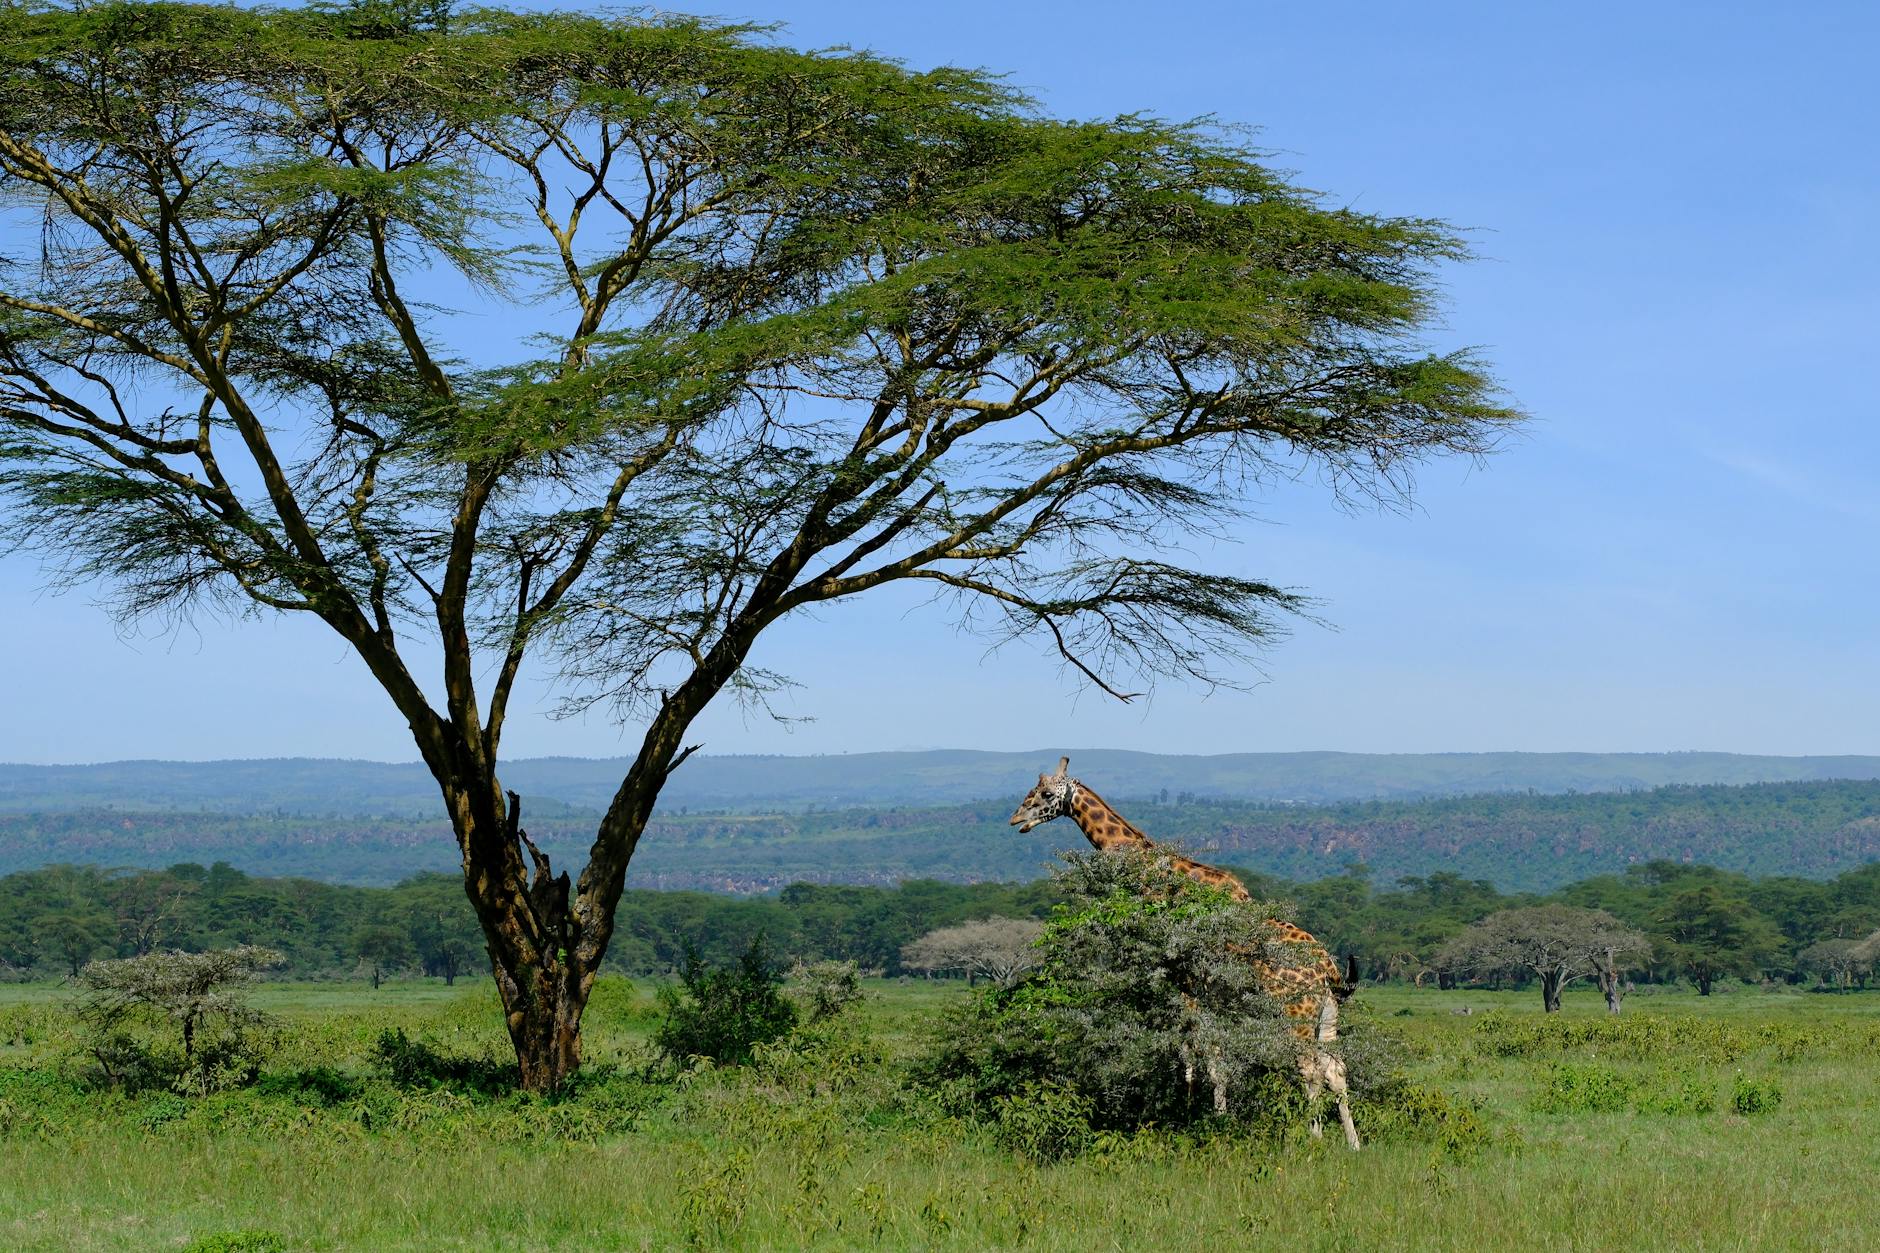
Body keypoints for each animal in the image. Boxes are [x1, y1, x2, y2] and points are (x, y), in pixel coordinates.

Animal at [1009, 756, 1361, 1149]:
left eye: (1046, 793)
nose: (1016, 819)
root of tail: (1328, 967)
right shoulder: (1205, 994)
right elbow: (1207, 1056)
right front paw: (1207, 1117)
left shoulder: (1187, 985)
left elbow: (1195, 1055)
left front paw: (1200, 1121)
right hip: (1326, 1014)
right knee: (1335, 1068)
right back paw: (1352, 1144)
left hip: (1294, 1012)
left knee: (1310, 1067)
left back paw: (1309, 1139)